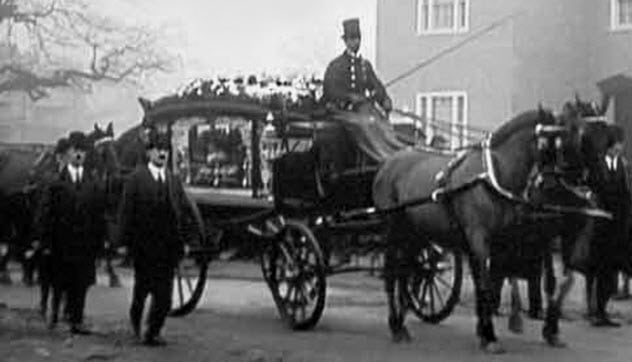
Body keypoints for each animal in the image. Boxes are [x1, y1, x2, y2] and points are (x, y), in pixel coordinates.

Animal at [372, 106, 608, 352]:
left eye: (605, 138)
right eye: (567, 141)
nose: (595, 183)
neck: (493, 176)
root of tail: (388, 163)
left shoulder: (509, 238)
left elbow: (505, 281)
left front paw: (489, 328)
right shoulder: (482, 237)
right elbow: (488, 282)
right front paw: (491, 335)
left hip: (414, 233)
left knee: (406, 272)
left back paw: (403, 318)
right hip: (393, 229)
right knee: (392, 273)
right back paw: (396, 325)